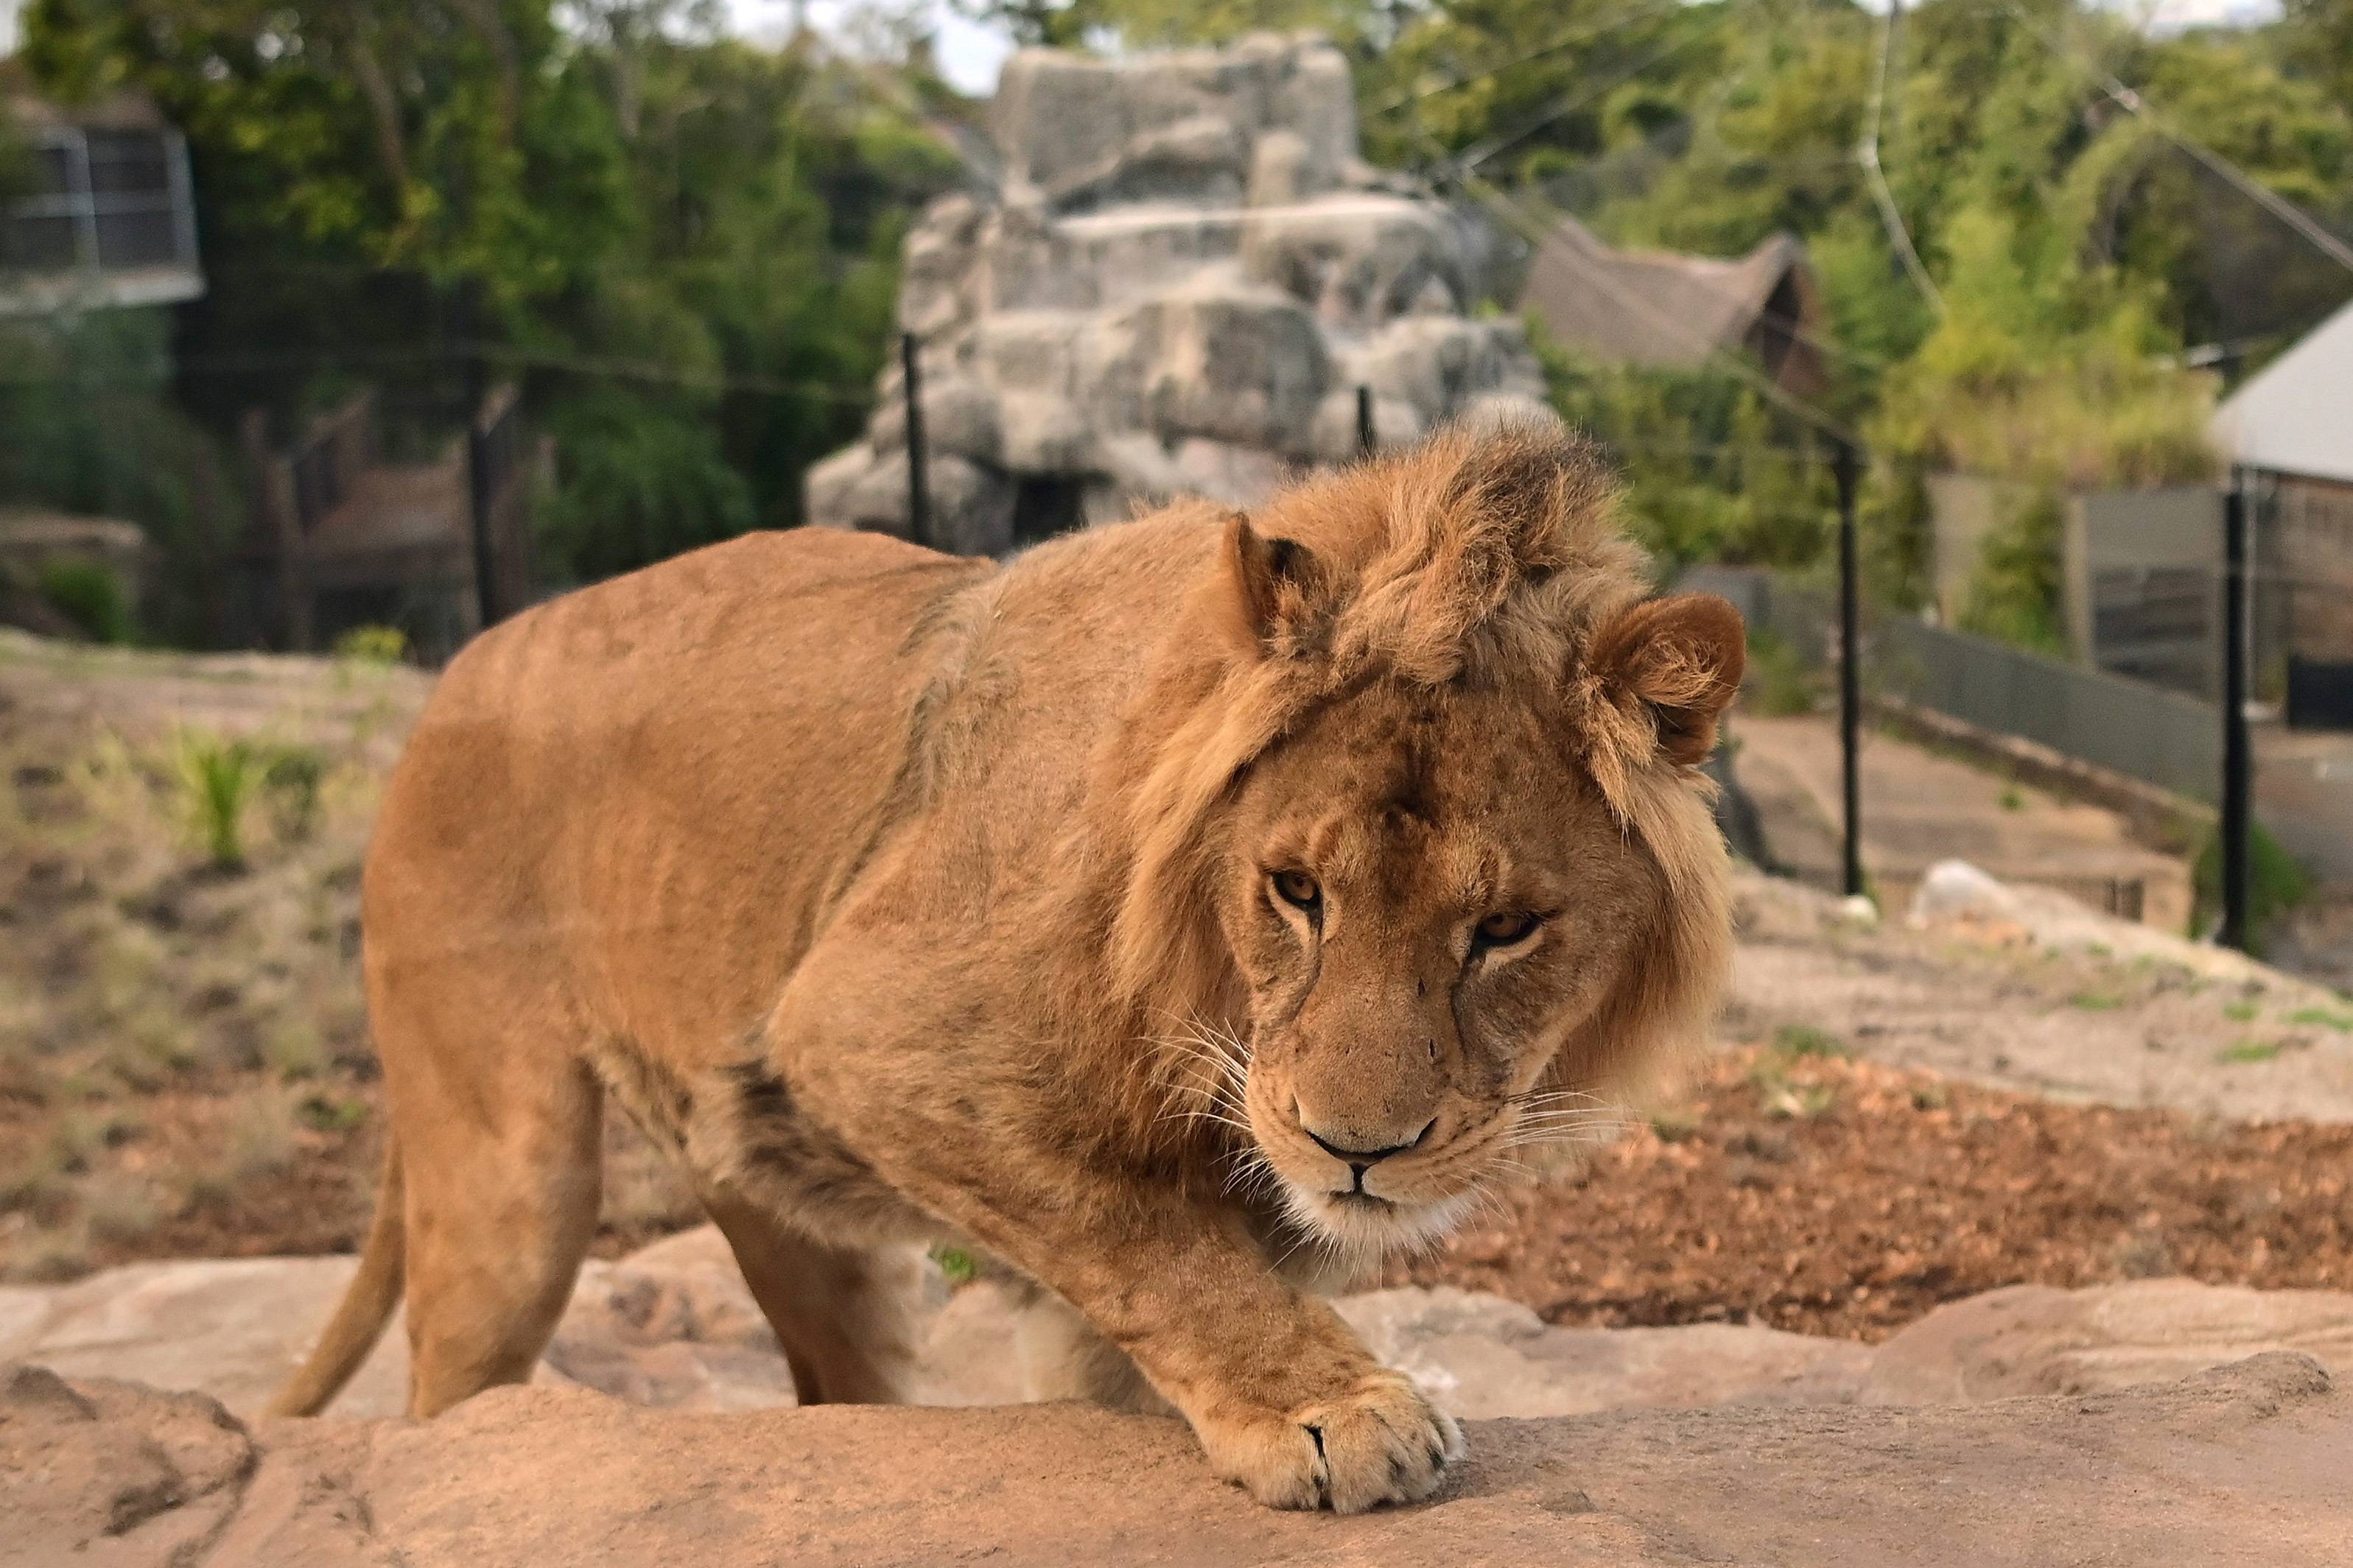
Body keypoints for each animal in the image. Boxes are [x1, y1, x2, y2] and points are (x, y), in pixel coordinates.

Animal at [275, 423, 1750, 1513]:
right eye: (1295, 891)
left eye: (1504, 930)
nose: (1354, 1151)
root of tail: (457, 666)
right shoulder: (859, 1027)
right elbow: (1149, 1241)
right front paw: (1335, 1408)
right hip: (507, 1177)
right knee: (449, 1391)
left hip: (798, 1212)